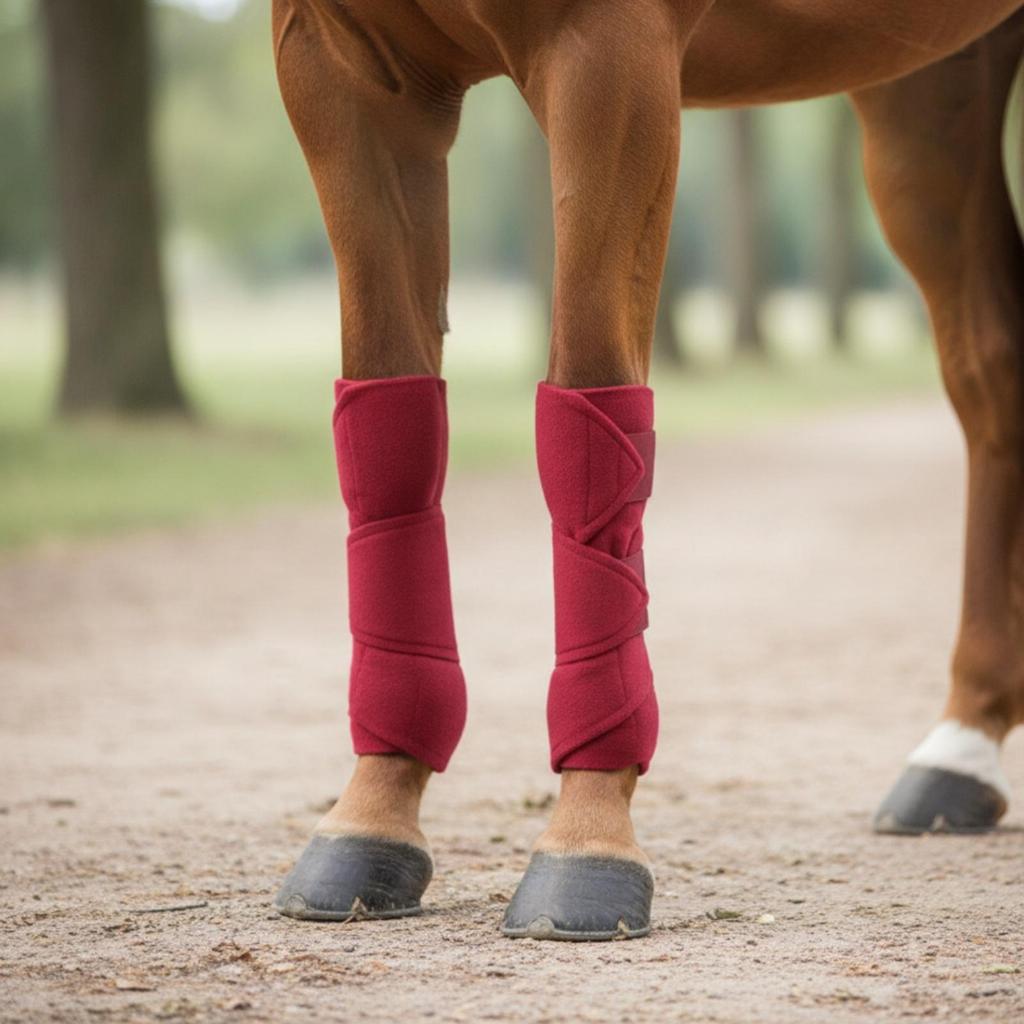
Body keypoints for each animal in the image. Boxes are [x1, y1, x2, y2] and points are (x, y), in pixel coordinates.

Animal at [269, 0, 1024, 940]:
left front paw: (587, 842)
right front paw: (371, 816)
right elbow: (390, 427)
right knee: (993, 372)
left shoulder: (609, 54)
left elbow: (591, 403)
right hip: (930, 89)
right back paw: (962, 751)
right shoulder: (340, 70)